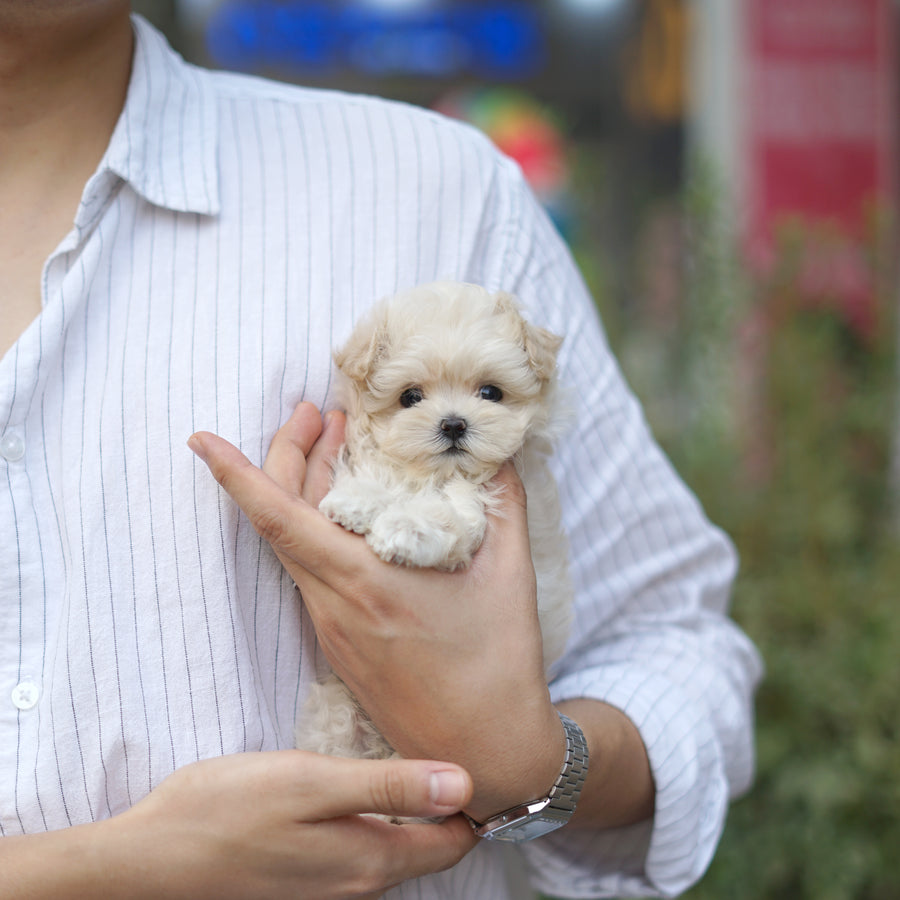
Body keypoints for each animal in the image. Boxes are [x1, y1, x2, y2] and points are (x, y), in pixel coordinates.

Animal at [298, 284, 572, 768]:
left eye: (490, 392)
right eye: (410, 397)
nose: (454, 424)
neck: (437, 474)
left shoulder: (479, 508)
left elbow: (446, 517)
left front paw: (403, 528)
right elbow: (379, 473)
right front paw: (358, 500)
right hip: (337, 710)